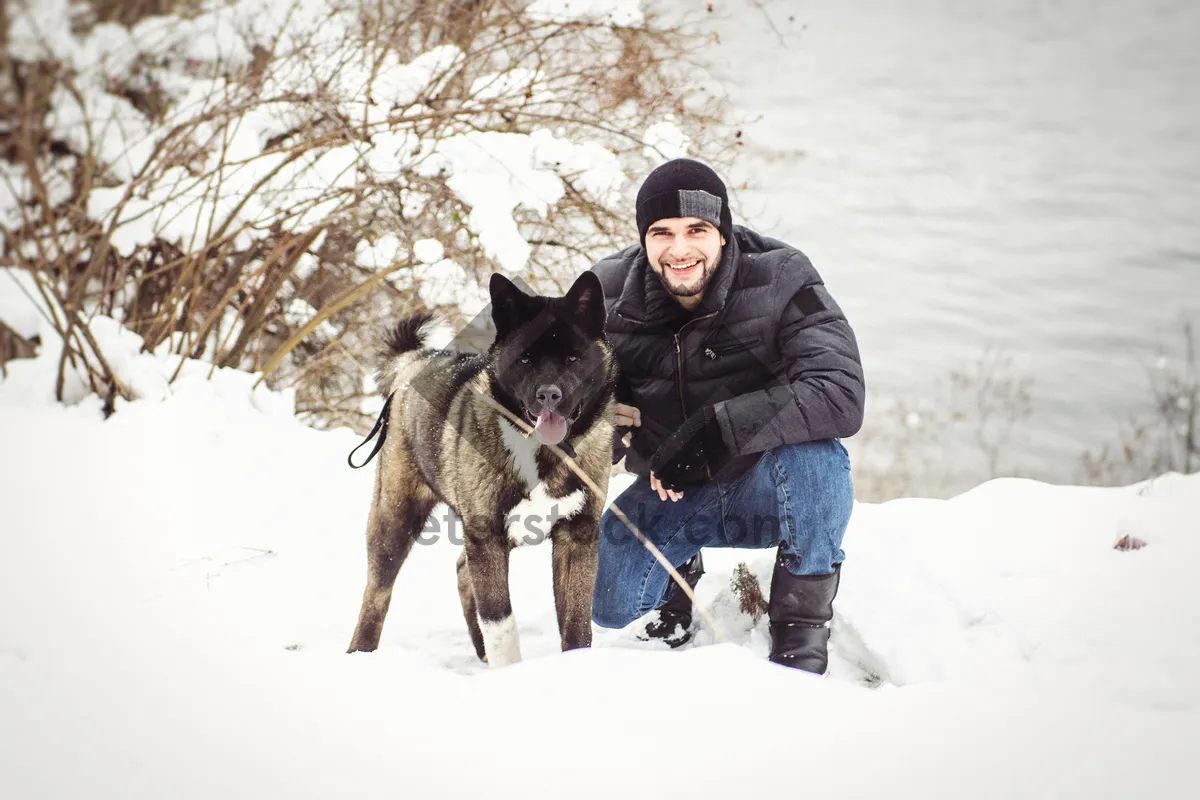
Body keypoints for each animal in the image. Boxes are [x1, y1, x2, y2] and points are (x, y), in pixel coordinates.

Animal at [345, 272, 609, 666]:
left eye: (572, 357)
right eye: (525, 359)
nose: (549, 395)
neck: (540, 452)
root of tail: (414, 363)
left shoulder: (577, 537)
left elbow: (577, 626)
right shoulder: (487, 538)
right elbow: (501, 624)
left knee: (460, 571)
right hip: (395, 519)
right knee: (376, 594)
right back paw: (360, 655)